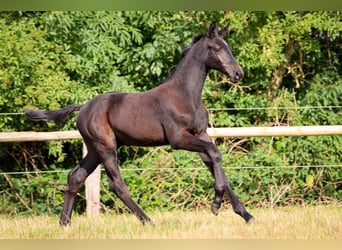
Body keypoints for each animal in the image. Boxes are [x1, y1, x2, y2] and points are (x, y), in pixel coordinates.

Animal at [25, 21, 254, 226]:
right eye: (217, 48)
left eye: (229, 47)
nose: (238, 73)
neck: (185, 95)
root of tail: (83, 107)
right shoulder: (178, 139)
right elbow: (215, 153)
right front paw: (215, 205)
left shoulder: (200, 134)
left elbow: (215, 162)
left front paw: (246, 215)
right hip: (106, 147)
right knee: (116, 184)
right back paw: (148, 221)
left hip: (95, 149)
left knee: (75, 176)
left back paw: (64, 222)